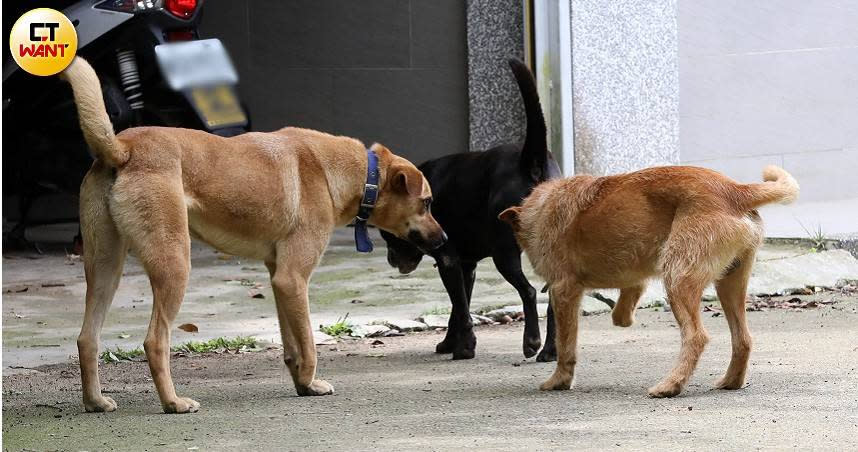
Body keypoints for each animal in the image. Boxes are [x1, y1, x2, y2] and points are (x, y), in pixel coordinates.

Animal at [61, 57, 448, 414]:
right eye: (428, 203)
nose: (444, 240)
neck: (356, 173)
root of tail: (122, 148)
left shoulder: (279, 278)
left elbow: (292, 344)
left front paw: (301, 383)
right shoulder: (294, 278)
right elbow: (309, 342)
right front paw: (312, 382)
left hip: (104, 269)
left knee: (86, 338)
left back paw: (95, 401)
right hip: (173, 265)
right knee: (155, 341)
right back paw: (173, 402)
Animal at [380, 59, 560, 360]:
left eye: (386, 234)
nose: (390, 258)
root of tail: (530, 162)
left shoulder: (448, 260)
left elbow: (461, 309)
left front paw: (464, 349)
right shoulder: (466, 265)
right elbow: (458, 306)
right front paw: (450, 344)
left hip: (504, 253)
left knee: (530, 292)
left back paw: (532, 342)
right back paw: (550, 351)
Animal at [498, 165, 800, 396]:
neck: (542, 208)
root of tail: (736, 190)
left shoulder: (563, 291)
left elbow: (565, 344)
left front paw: (559, 380)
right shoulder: (629, 274)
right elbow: (627, 297)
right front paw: (623, 315)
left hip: (678, 278)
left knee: (696, 337)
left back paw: (671, 385)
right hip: (730, 283)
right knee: (743, 339)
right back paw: (730, 381)